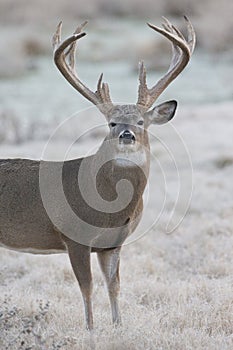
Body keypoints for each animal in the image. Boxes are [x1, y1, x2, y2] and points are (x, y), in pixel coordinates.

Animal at [0, 16, 195, 330]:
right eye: (112, 123)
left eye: (141, 122)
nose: (127, 134)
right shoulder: (74, 237)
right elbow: (87, 287)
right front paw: (91, 330)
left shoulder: (112, 244)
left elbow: (114, 286)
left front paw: (118, 327)